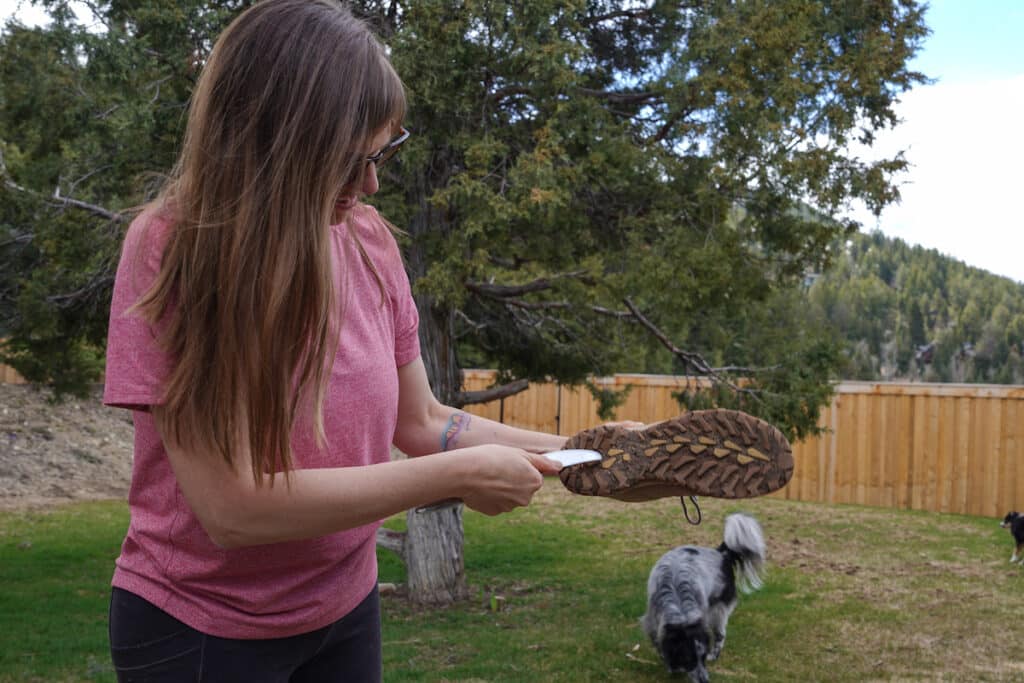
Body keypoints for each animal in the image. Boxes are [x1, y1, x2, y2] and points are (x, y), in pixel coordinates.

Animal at [643, 511, 765, 683]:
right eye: (689, 659)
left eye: (702, 657)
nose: (705, 681)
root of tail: (721, 553)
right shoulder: (654, 622)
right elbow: (660, 646)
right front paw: (671, 666)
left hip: (718, 611)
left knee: (721, 634)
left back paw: (715, 655)